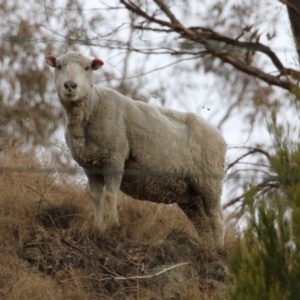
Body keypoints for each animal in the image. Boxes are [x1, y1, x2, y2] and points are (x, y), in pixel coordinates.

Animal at [45, 51, 226, 247]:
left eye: (87, 68)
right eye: (59, 66)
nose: (70, 85)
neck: (91, 107)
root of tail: (220, 135)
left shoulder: (115, 157)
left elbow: (110, 194)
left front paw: (113, 225)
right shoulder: (90, 165)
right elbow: (97, 197)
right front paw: (97, 226)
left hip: (210, 180)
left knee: (216, 216)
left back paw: (218, 248)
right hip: (188, 193)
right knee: (201, 222)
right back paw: (207, 247)